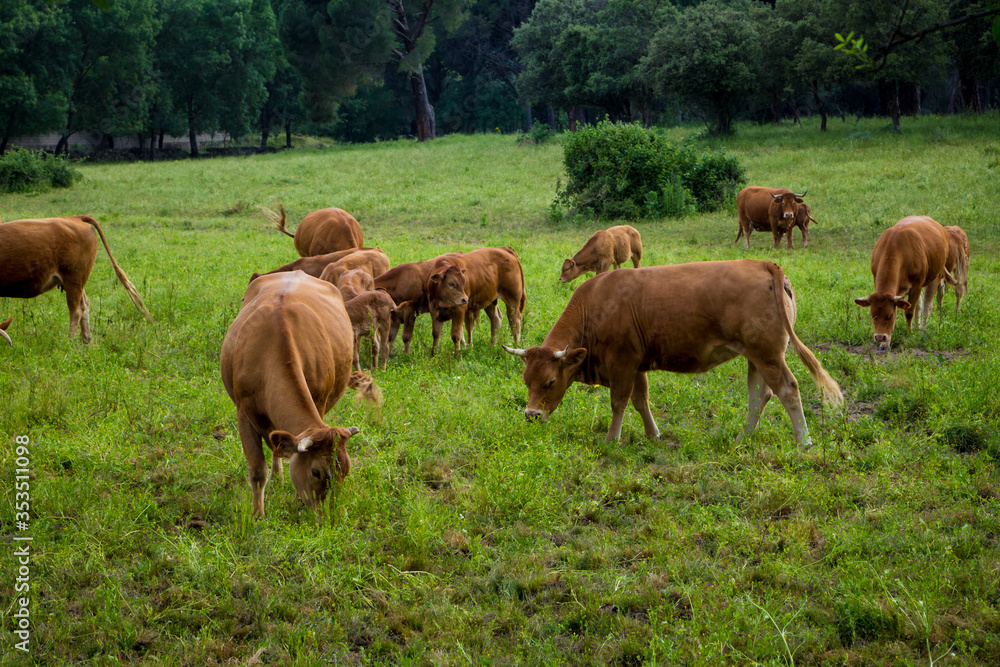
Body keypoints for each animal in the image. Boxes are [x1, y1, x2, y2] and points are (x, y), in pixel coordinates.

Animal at [0, 215, 153, 342]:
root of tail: (75, 217)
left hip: (73, 281)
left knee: (76, 310)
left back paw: (69, 342)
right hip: (78, 282)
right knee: (84, 306)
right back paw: (86, 341)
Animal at [220, 271, 361, 517]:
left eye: (345, 471)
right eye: (316, 472)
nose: (327, 515)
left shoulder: (319, 403)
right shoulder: (244, 415)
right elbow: (257, 471)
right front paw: (258, 516)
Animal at [503, 260, 842, 447]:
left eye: (549, 382)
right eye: (526, 381)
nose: (531, 415)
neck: (598, 304)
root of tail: (764, 264)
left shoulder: (622, 363)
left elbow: (619, 402)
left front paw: (612, 439)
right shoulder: (636, 365)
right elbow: (641, 400)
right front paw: (653, 434)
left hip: (769, 355)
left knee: (788, 390)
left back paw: (804, 442)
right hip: (756, 357)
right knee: (760, 395)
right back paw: (743, 438)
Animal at [854, 216, 953, 352]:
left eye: (890, 315)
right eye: (873, 316)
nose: (880, 337)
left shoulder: (917, 284)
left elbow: (909, 311)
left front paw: (909, 333)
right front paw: (885, 344)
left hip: (936, 276)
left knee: (927, 305)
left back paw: (922, 331)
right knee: (919, 305)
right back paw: (917, 328)